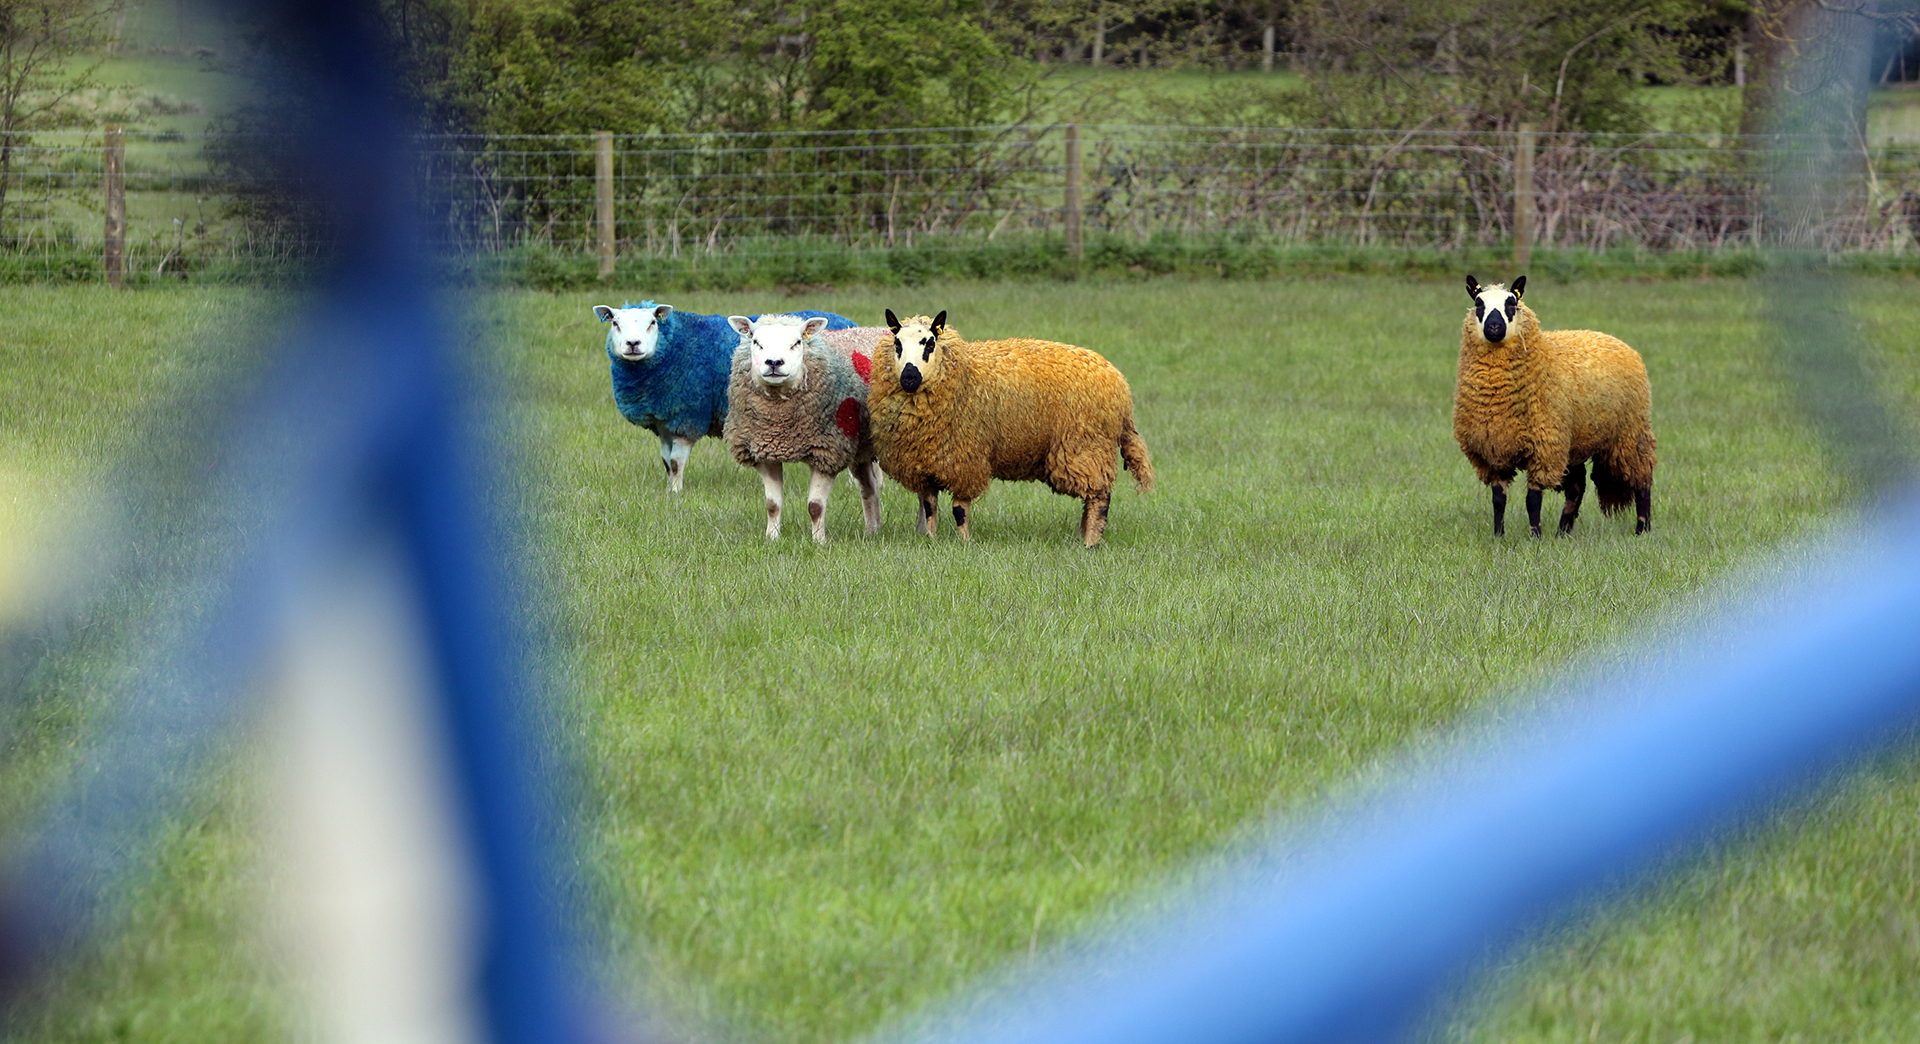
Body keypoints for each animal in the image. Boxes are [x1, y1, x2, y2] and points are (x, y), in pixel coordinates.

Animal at [587, 299, 852, 491]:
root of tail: (848, 321)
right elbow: (666, 461)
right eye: (615, 323)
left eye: (653, 322)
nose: (633, 344)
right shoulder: (663, 421)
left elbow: (676, 461)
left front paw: (676, 493)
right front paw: (669, 489)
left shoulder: (688, 416)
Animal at [721, 312, 887, 545]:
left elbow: (815, 506)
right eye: (756, 342)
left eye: (797, 342)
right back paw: (873, 530)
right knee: (869, 488)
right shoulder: (765, 452)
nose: (774, 362)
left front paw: (819, 542)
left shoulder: (827, 451)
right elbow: (772, 505)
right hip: (860, 449)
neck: (780, 426)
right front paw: (771, 539)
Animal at [871, 307, 1152, 545]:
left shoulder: (966, 459)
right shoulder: (927, 464)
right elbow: (930, 507)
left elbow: (960, 509)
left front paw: (964, 542)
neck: (963, 374)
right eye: (897, 344)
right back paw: (1083, 534)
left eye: (929, 344)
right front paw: (931, 540)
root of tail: (1120, 385)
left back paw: (1090, 542)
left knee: (1099, 497)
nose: (909, 377)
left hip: (1085, 445)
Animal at [1451, 274, 1651, 537]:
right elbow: (1498, 499)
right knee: (1577, 487)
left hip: (1630, 433)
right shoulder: (1492, 451)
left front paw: (1535, 537)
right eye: (1478, 304)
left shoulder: (1544, 447)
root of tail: (1614, 340)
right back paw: (1562, 532)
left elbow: (1532, 500)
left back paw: (1643, 529)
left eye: (1512, 303)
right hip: (1572, 442)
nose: (1494, 327)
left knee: (1643, 479)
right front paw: (1498, 536)